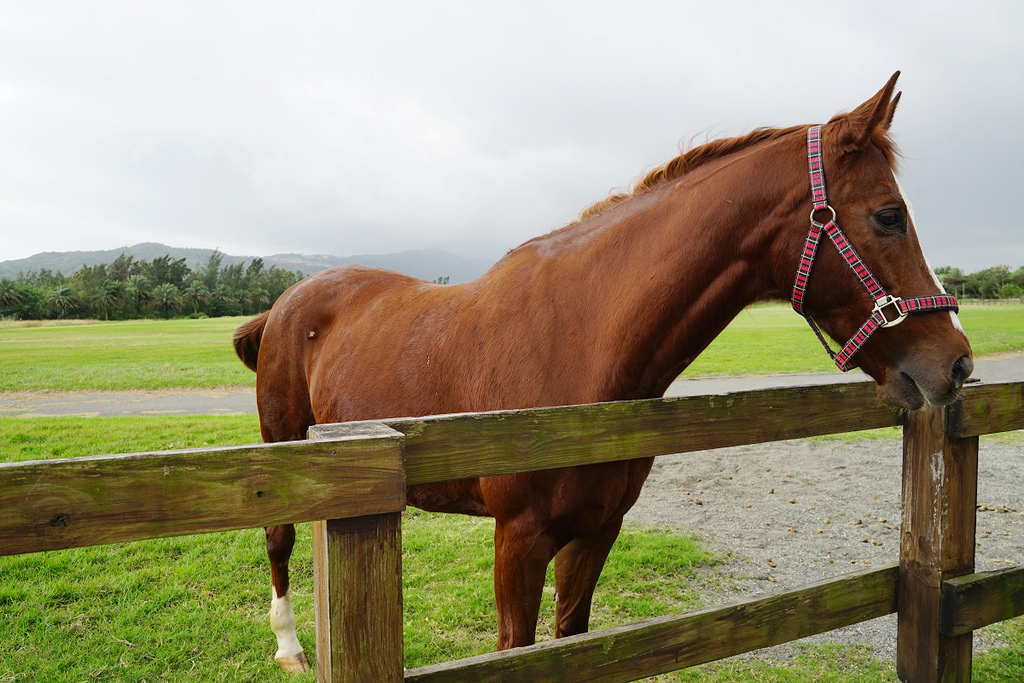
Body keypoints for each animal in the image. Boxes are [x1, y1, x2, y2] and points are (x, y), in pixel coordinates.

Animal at [234, 72, 974, 671]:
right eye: (889, 214)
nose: (957, 361)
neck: (581, 346)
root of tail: (288, 302)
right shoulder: (518, 540)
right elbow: (516, 648)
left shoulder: (596, 531)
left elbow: (571, 640)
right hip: (284, 447)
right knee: (278, 541)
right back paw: (291, 647)